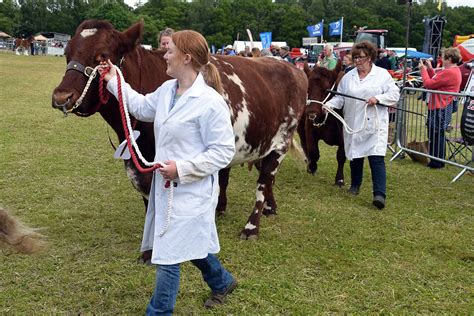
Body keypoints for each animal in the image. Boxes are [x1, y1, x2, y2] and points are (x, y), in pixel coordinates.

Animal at [50, 20, 306, 249]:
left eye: (102, 56)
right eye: (66, 52)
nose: (61, 97)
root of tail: (292, 69)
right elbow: (148, 200)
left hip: (281, 142)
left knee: (264, 182)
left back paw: (251, 226)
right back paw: (251, 208)